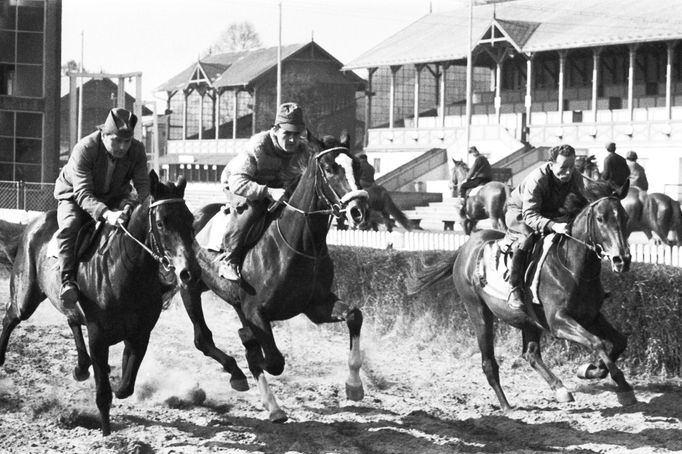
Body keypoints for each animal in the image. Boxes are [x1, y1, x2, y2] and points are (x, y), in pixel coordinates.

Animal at [0, 172, 201, 434]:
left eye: (190, 220)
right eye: (161, 223)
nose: (189, 272)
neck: (123, 270)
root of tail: (32, 226)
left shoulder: (140, 334)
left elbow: (125, 386)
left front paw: (111, 380)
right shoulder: (98, 336)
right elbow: (104, 393)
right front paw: (106, 431)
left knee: (71, 318)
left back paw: (81, 367)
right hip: (25, 295)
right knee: (11, 317)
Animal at [175, 135, 366, 422]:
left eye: (357, 166)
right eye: (330, 168)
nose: (358, 211)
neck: (299, 245)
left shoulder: (315, 305)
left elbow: (354, 315)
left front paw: (354, 387)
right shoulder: (255, 311)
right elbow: (272, 360)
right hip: (189, 286)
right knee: (203, 339)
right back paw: (240, 376)